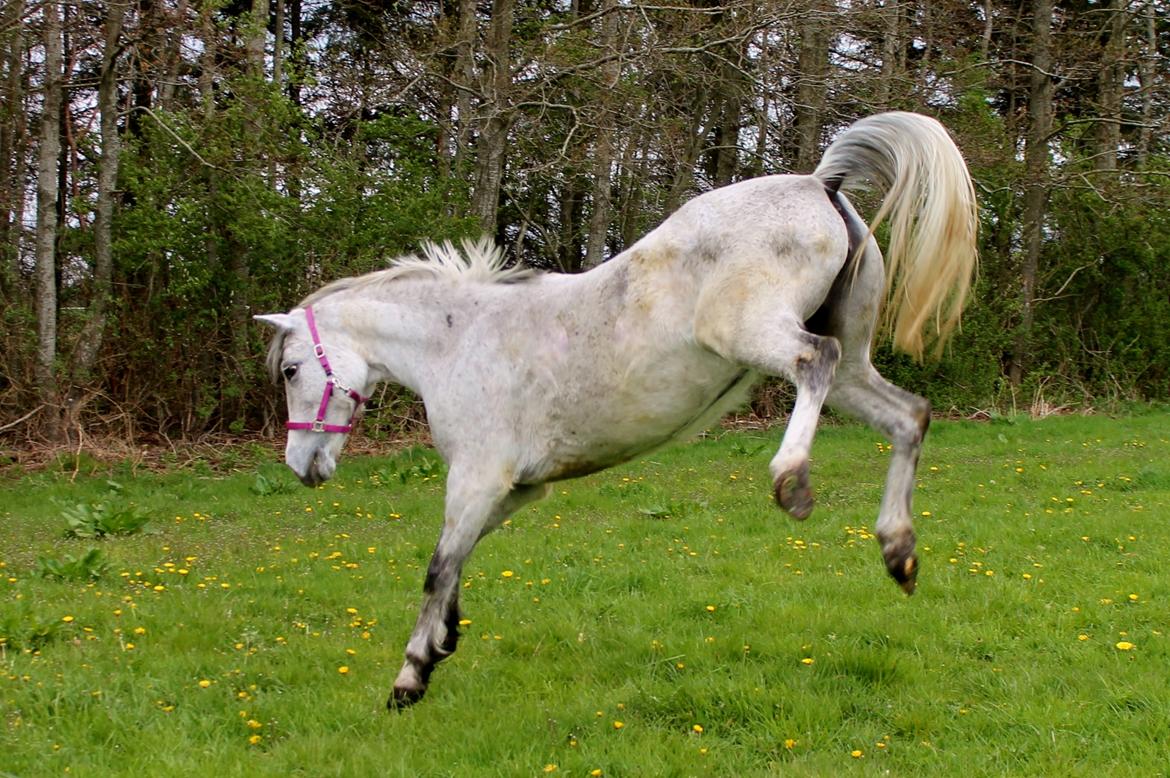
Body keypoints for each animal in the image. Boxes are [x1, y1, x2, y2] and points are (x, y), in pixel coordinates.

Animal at [256, 112, 978, 706]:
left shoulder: (478, 477)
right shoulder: (517, 490)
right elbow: (458, 559)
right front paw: (442, 645)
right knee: (908, 416)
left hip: (754, 333)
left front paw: (410, 677)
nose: (300, 464)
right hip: (858, 370)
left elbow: (437, 565)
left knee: (814, 362)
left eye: (291, 371)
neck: (459, 340)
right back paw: (898, 551)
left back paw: (792, 479)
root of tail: (818, 182)